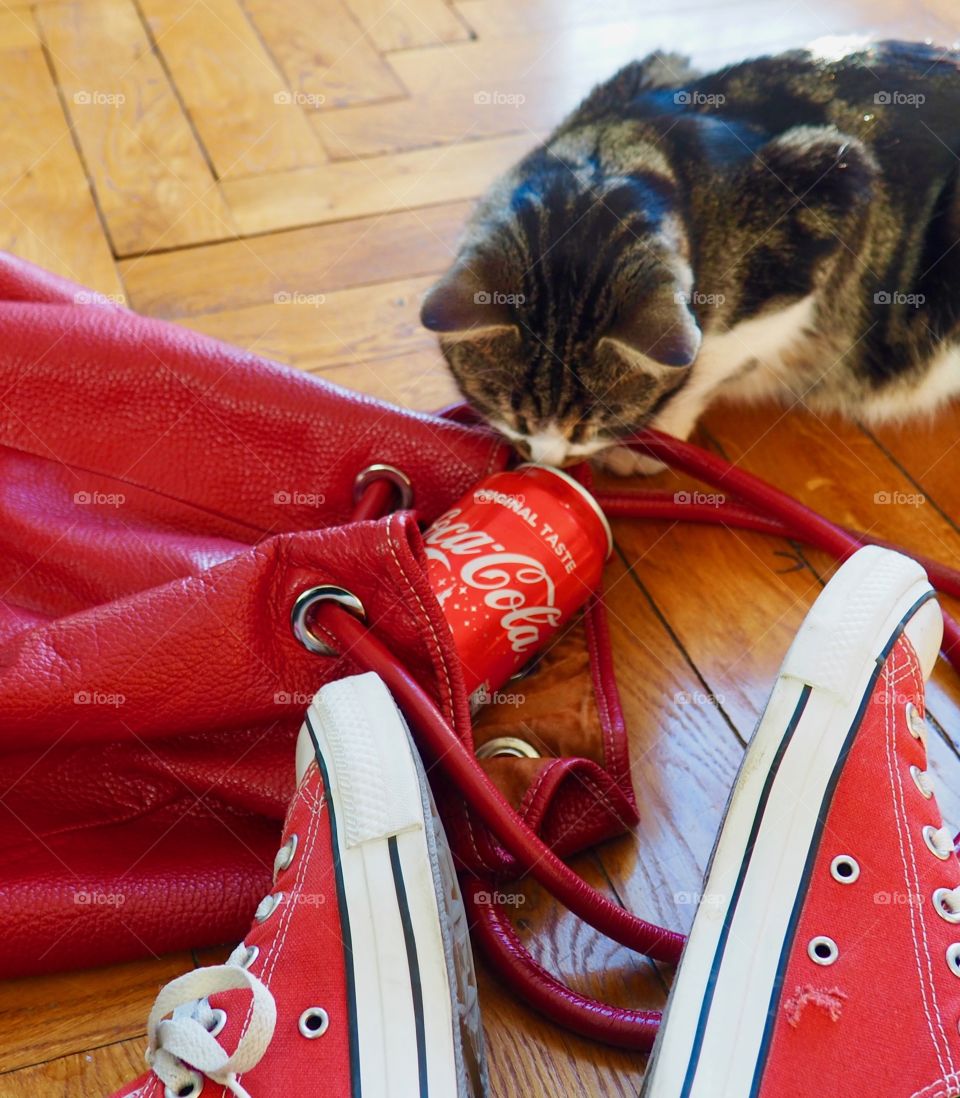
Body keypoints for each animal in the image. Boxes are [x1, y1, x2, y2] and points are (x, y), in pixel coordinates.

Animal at [421, 40, 960, 472]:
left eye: (595, 424)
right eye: (512, 415)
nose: (548, 461)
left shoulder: (836, 192)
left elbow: (714, 358)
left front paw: (649, 438)